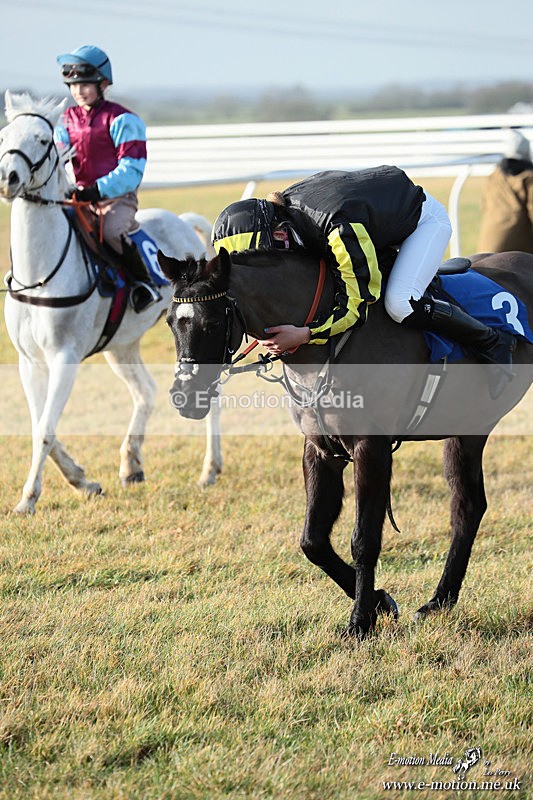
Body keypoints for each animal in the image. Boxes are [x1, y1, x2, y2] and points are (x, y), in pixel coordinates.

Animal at [0, 91, 222, 514]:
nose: (8, 178)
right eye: (4, 135)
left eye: (42, 138)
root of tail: (184, 223)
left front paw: (28, 499)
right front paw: (82, 480)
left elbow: (45, 430)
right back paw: (131, 463)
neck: (41, 275)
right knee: (145, 392)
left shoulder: (65, 358)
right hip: (121, 346)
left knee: (209, 396)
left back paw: (210, 470)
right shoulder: (28, 361)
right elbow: (41, 427)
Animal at [157, 245, 533, 638]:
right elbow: (313, 541)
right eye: (170, 321)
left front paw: (360, 622)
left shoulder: (372, 447)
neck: (325, 345)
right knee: (468, 506)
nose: (184, 396)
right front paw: (380, 601)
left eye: (213, 323)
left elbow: (364, 538)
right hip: (468, 429)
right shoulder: (322, 449)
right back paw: (437, 602)